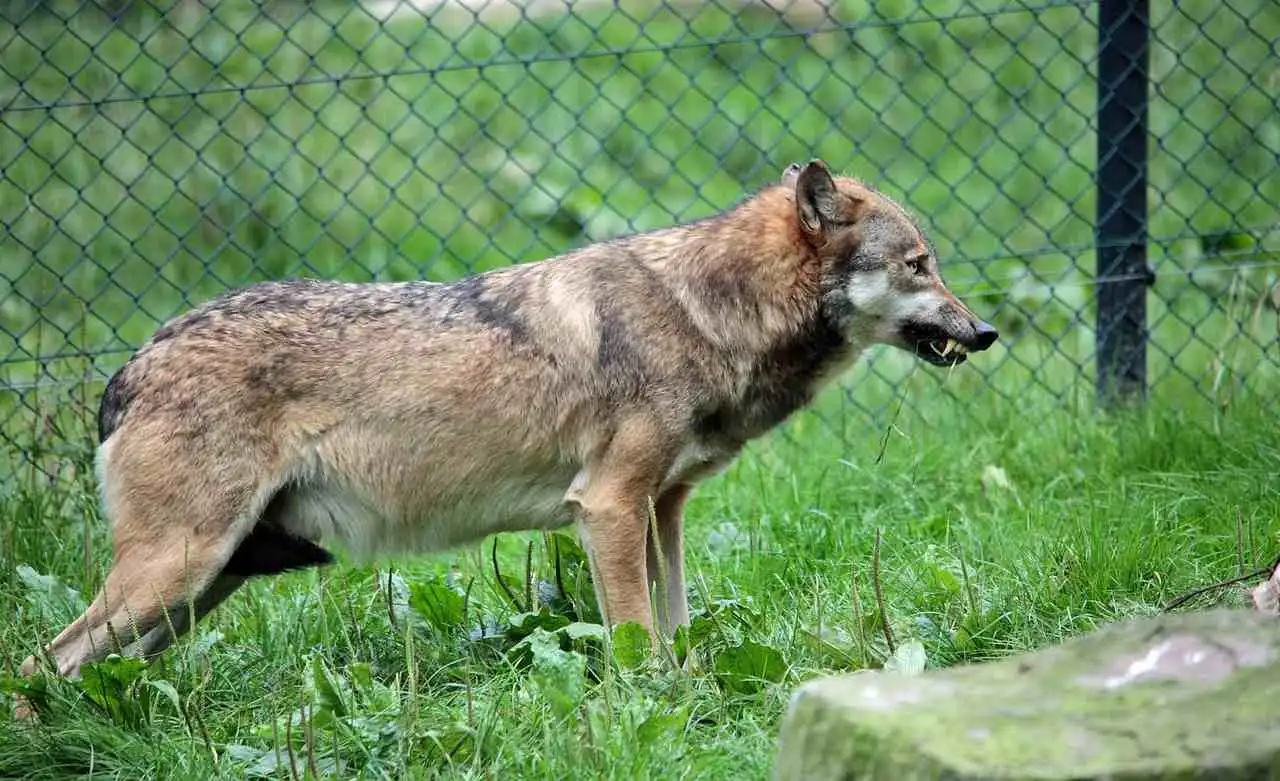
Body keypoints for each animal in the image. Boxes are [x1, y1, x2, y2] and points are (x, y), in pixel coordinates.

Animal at [22, 159, 998, 686]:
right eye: (920, 265)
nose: (985, 330)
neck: (709, 311)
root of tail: (131, 364)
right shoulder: (608, 507)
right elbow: (637, 640)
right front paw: (651, 706)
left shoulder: (663, 509)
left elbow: (676, 622)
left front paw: (689, 691)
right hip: (178, 572)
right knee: (42, 662)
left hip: (200, 587)